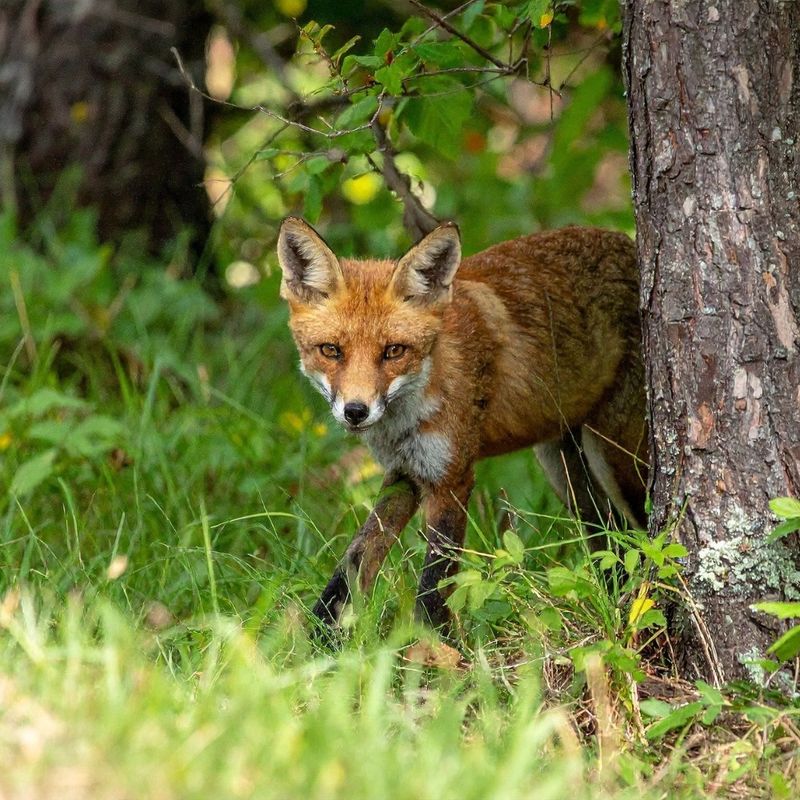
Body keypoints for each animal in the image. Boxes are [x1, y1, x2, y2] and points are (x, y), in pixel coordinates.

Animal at [277, 216, 647, 633]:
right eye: (331, 351)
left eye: (393, 351)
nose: (356, 411)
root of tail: (626, 242)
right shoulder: (405, 474)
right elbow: (353, 563)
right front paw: (317, 639)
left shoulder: (451, 478)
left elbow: (434, 588)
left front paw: (431, 648)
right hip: (563, 470)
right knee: (611, 537)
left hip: (614, 459)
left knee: (645, 533)